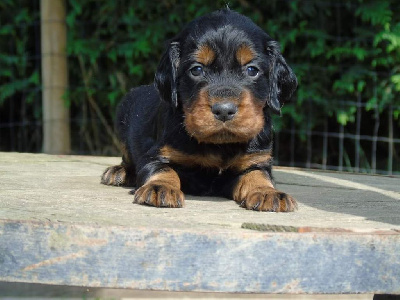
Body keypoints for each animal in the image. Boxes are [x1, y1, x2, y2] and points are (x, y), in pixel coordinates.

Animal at [101, 8, 298, 211]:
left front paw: (267, 192)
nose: (224, 110)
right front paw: (160, 187)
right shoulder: (156, 153)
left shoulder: (256, 160)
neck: (219, 145)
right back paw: (119, 172)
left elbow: (258, 175)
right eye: (196, 69)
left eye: (252, 70)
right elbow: (162, 168)